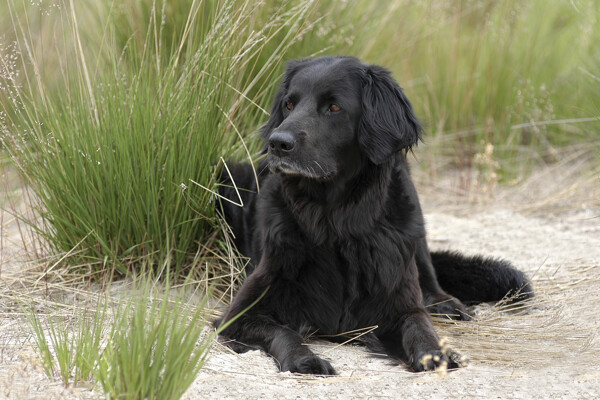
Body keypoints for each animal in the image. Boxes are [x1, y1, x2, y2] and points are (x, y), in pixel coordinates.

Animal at [213, 57, 532, 376]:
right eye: (289, 104)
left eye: (334, 107)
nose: (278, 143)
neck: (335, 221)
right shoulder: (238, 314)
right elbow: (284, 331)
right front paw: (304, 359)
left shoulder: (399, 299)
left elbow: (419, 324)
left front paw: (435, 353)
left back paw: (445, 302)